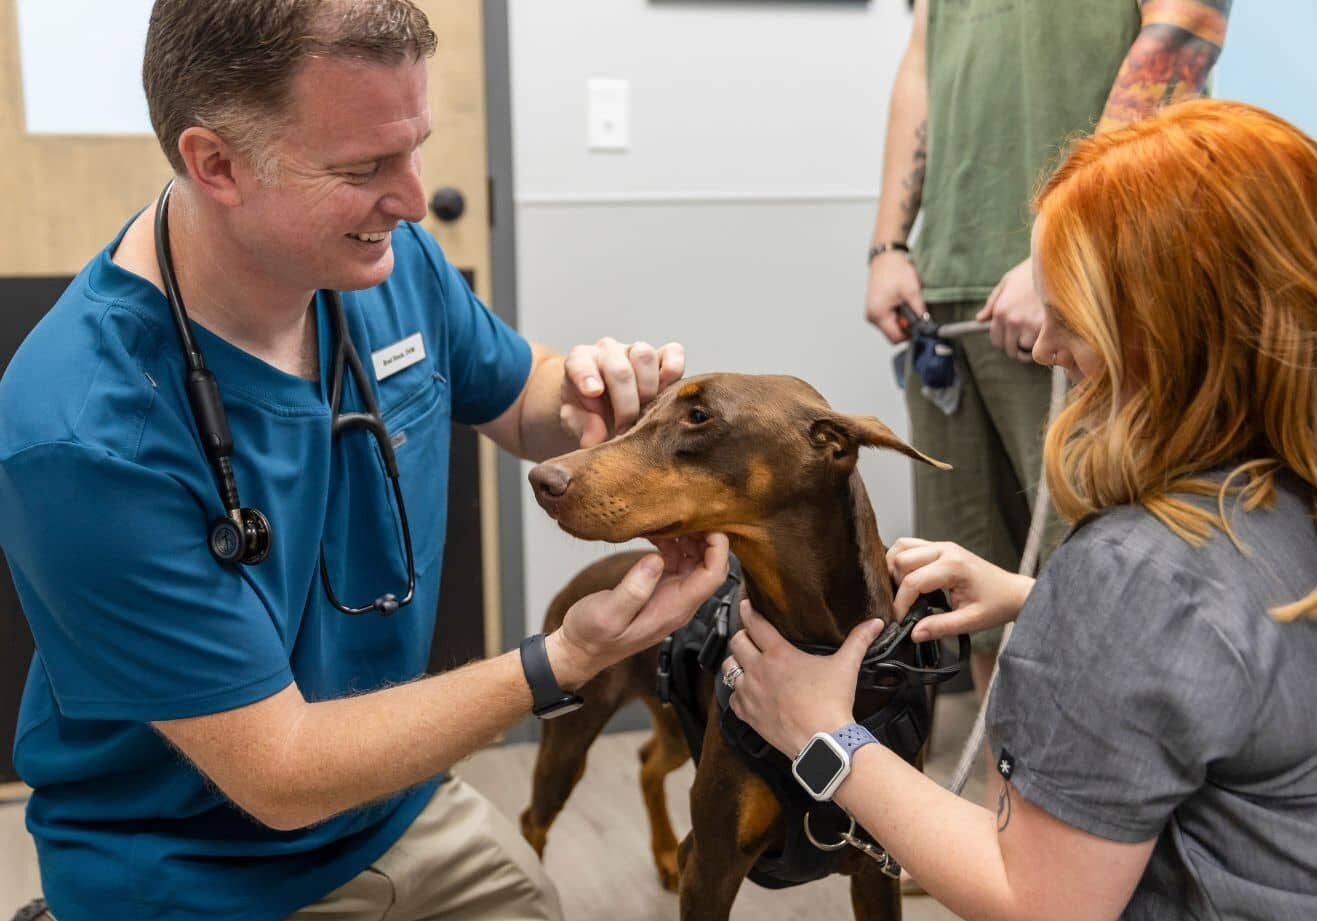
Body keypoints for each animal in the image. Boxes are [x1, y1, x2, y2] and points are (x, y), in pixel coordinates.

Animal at [516, 374, 948, 921]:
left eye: (699, 416)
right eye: (644, 411)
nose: (542, 480)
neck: (818, 651)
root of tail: (579, 583)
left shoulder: (876, 866)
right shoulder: (711, 864)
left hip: (677, 728)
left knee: (648, 760)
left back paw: (663, 854)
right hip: (571, 736)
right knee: (534, 818)